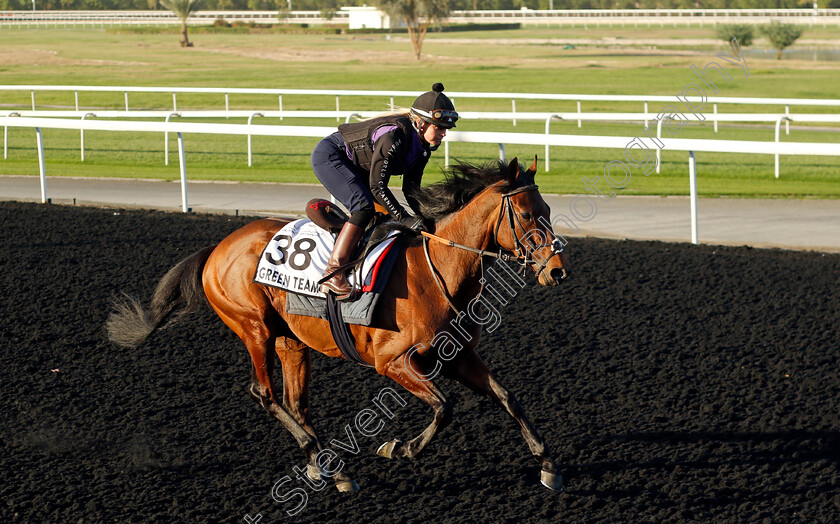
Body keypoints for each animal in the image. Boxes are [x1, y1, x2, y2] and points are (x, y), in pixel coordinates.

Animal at [106, 156, 572, 492]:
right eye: (527, 216)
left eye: (549, 209)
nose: (557, 271)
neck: (439, 268)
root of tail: (217, 247)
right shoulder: (393, 362)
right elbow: (445, 407)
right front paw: (398, 448)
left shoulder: (459, 356)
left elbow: (507, 397)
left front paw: (548, 463)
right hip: (254, 328)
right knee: (263, 393)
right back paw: (326, 463)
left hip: (291, 341)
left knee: (295, 402)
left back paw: (326, 468)